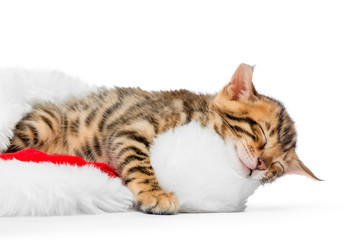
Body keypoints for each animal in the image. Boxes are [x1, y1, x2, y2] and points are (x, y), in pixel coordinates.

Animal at [6, 63, 320, 214]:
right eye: (261, 134)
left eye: (276, 168)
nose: (261, 165)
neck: (201, 117)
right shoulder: (130, 130)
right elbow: (140, 164)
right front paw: (155, 194)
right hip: (43, 124)